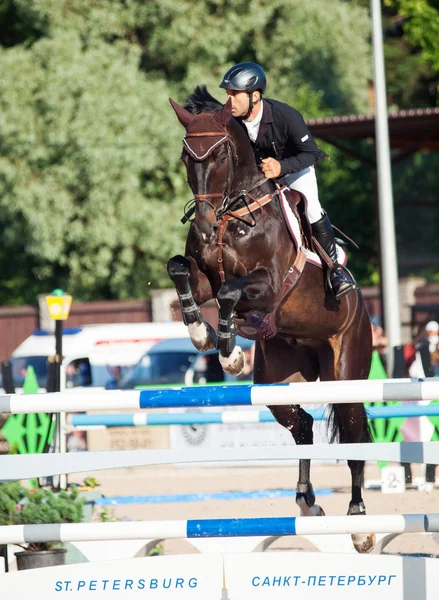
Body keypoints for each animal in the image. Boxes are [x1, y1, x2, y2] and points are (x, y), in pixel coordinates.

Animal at [168, 88, 374, 552]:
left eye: (220, 154)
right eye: (187, 157)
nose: (204, 228)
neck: (233, 215)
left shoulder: (269, 284)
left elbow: (230, 292)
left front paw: (228, 356)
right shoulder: (201, 277)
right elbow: (179, 270)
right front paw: (200, 331)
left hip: (346, 369)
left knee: (354, 432)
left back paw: (359, 521)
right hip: (277, 380)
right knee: (302, 425)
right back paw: (306, 502)